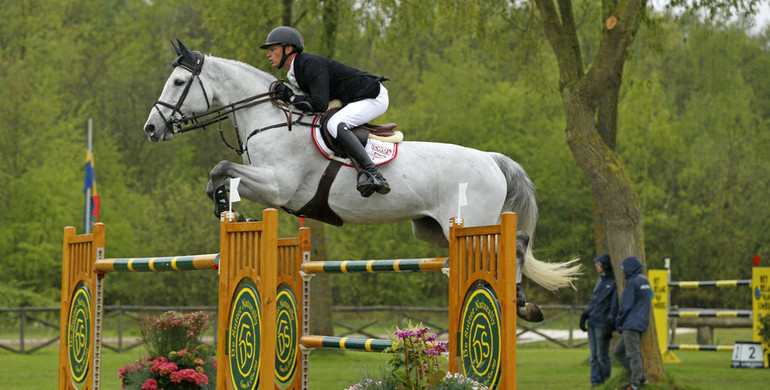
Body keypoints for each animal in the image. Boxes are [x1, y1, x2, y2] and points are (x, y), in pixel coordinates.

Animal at [142, 39, 576, 322]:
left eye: (178, 83)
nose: (151, 129)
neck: (271, 120)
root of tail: (491, 159)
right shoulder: (270, 188)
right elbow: (220, 175)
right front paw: (224, 208)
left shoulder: (277, 186)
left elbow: (223, 168)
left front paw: (224, 205)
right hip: (434, 230)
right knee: (505, 246)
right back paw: (523, 303)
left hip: (473, 223)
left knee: (512, 245)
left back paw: (520, 301)